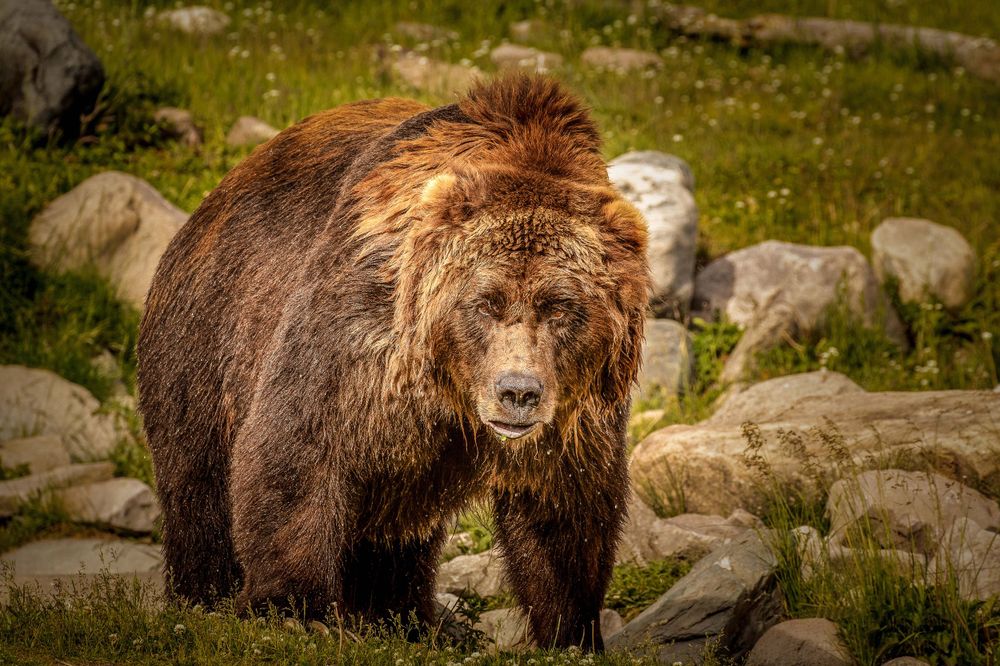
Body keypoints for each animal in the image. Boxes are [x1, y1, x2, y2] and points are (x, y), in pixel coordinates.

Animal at [137, 73, 649, 651]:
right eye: (486, 302)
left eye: (560, 306)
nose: (517, 392)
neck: (447, 386)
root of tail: (204, 208)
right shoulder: (358, 330)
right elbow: (298, 447)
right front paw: (293, 608)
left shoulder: (577, 410)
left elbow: (565, 509)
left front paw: (573, 631)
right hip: (207, 338)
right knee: (198, 490)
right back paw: (204, 595)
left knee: (396, 535)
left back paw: (409, 618)